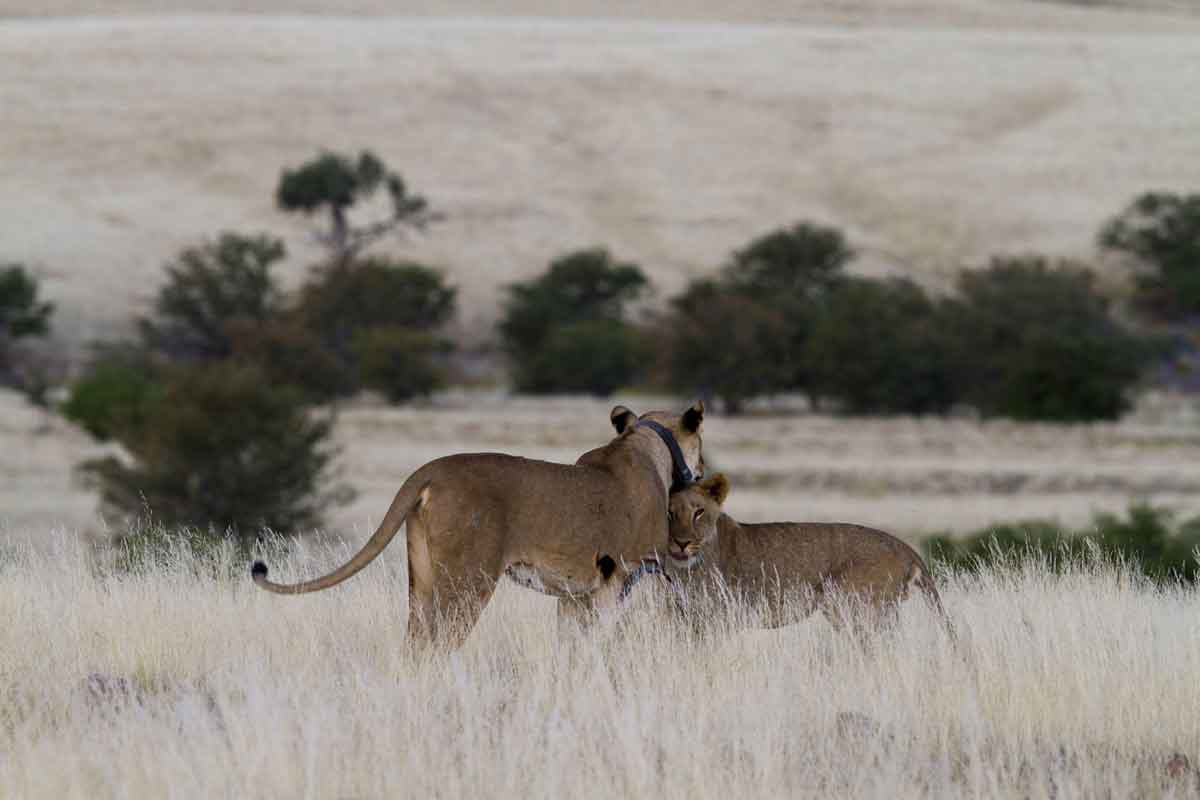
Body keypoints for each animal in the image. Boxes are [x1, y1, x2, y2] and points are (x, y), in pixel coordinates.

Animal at [253, 402, 700, 647]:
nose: (698, 472)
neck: (645, 446)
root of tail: (431, 469)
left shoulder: (574, 594)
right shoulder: (618, 578)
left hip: (422, 578)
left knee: (414, 644)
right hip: (469, 580)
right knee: (439, 645)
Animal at [662, 472, 950, 633]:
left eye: (699, 512)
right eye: (669, 512)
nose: (681, 543)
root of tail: (906, 548)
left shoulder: (720, 616)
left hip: (852, 608)